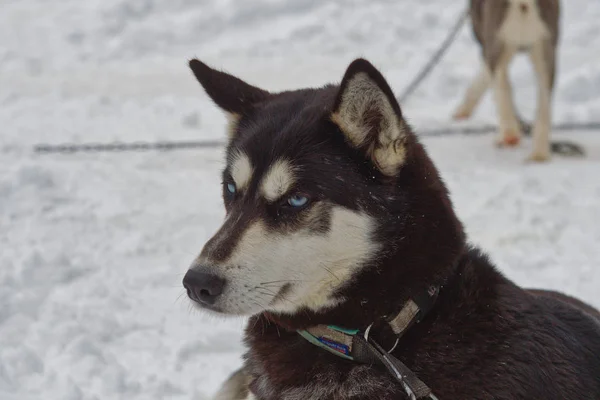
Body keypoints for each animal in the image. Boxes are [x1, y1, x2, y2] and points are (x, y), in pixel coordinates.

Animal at [454, 0, 564, 162]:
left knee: (501, 84)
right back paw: (539, 154)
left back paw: (509, 133)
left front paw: (462, 110)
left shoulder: (488, 44)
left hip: (498, 41)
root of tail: (522, 3)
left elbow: (488, 79)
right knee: (543, 104)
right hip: (544, 48)